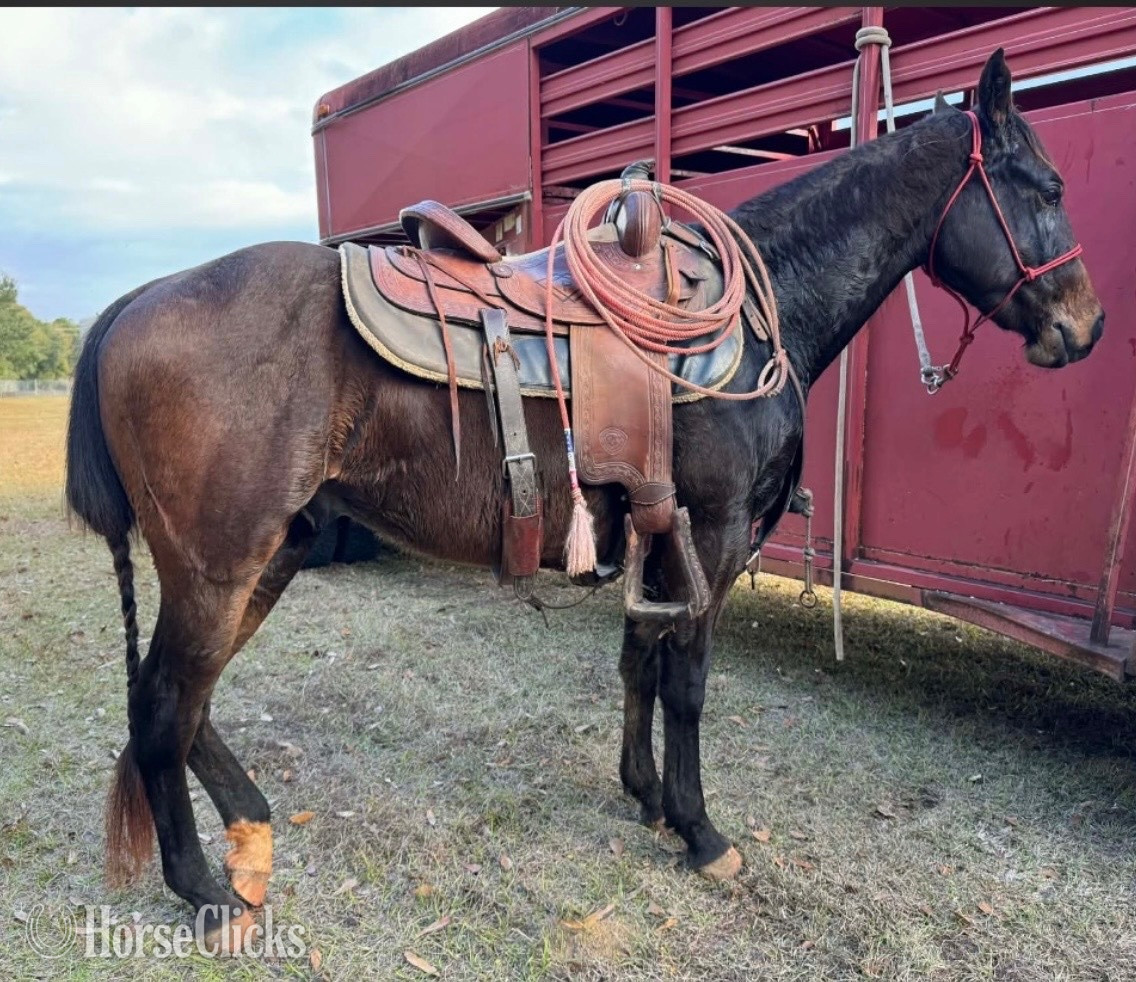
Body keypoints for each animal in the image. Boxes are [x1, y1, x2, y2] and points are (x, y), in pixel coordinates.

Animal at [64, 49, 1102, 950]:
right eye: (1047, 188)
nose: (1085, 325)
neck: (751, 313)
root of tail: (132, 303)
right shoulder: (712, 534)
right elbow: (686, 682)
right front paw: (700, 830)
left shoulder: (654, 529)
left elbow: (638, 661)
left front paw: (644, 795)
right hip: (218, 564)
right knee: (163, 702)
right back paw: (203, 891)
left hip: (270, 553)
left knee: (184, 702)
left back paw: (248, 827)